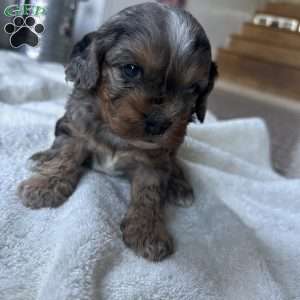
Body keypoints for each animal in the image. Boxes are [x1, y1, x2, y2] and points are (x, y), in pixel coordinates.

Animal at [17, 1, 218, 260]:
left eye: (193, 88)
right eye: (131, 69)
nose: (159, 123)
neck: (118, 134)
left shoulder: (155, 160)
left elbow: (149, 193)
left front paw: (147, 230)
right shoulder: (76, 128)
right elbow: (65, 156)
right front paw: (45, 187)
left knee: (176, 165)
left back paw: (179, 186)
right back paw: (42, 158)